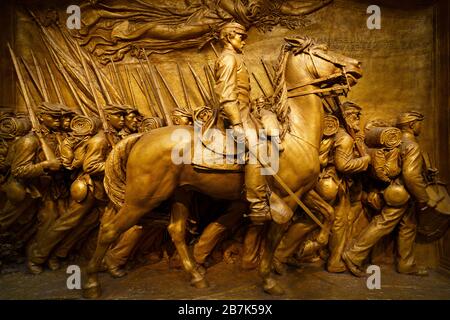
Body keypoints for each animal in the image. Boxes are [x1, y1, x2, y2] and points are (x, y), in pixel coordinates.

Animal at [81, 36, 362, 298]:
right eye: (323, 50)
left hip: (180, 192)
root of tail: (141, 138)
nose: (356, 65)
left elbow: (328, 214)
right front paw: (269, 279)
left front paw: (312, 246)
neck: (294, 133)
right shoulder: (286, 199)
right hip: (143, 198)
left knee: (175, 231)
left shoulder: (303, 191)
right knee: (109, 230)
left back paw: (196, 276)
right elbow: (273, 239)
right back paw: (92, 283)